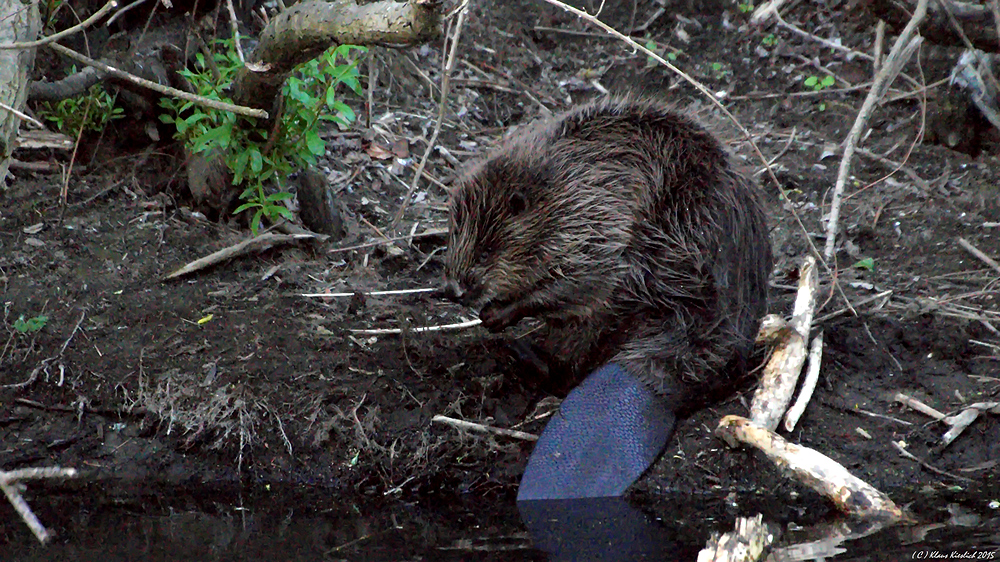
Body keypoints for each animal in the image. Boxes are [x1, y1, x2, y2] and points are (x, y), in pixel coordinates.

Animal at [440, 96, 772, 498]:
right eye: (452, 234)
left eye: (487, 251)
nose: (454, 289)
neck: (560, 186)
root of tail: (647, 381)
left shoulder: (594, 223)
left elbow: (579, 283)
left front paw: (498, 314)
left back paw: (522, 353)